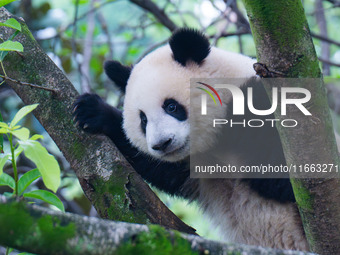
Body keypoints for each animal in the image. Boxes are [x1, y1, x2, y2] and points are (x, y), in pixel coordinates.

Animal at [73, 28, 310, 251]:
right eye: (143, 119)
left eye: (171, 106)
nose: (162, 144)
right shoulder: (195, 166)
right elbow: (162, 170)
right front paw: (93, 111)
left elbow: (282, 178)